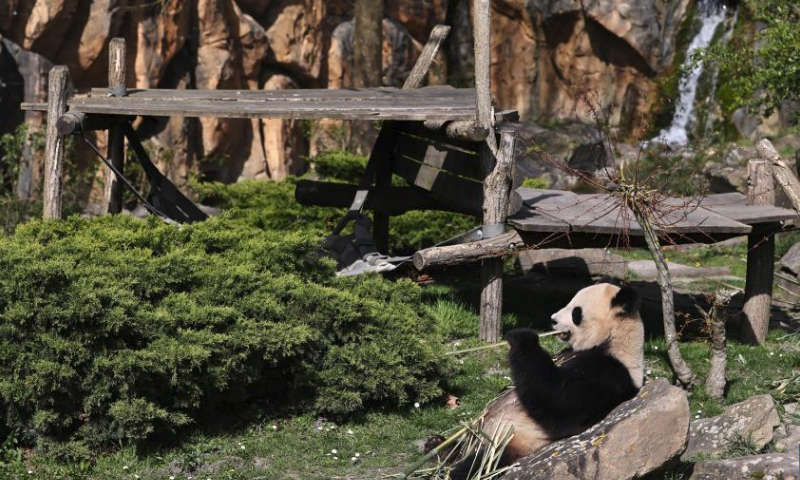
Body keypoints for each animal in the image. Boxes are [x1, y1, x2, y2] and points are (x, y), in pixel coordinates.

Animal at [450, 283, 645, 479]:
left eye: (576, 312)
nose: (553, 320)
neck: (612, 339)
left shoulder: (608, 373)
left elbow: (559, 401)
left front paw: (522, 336)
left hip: (510, 442)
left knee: (476, 465)